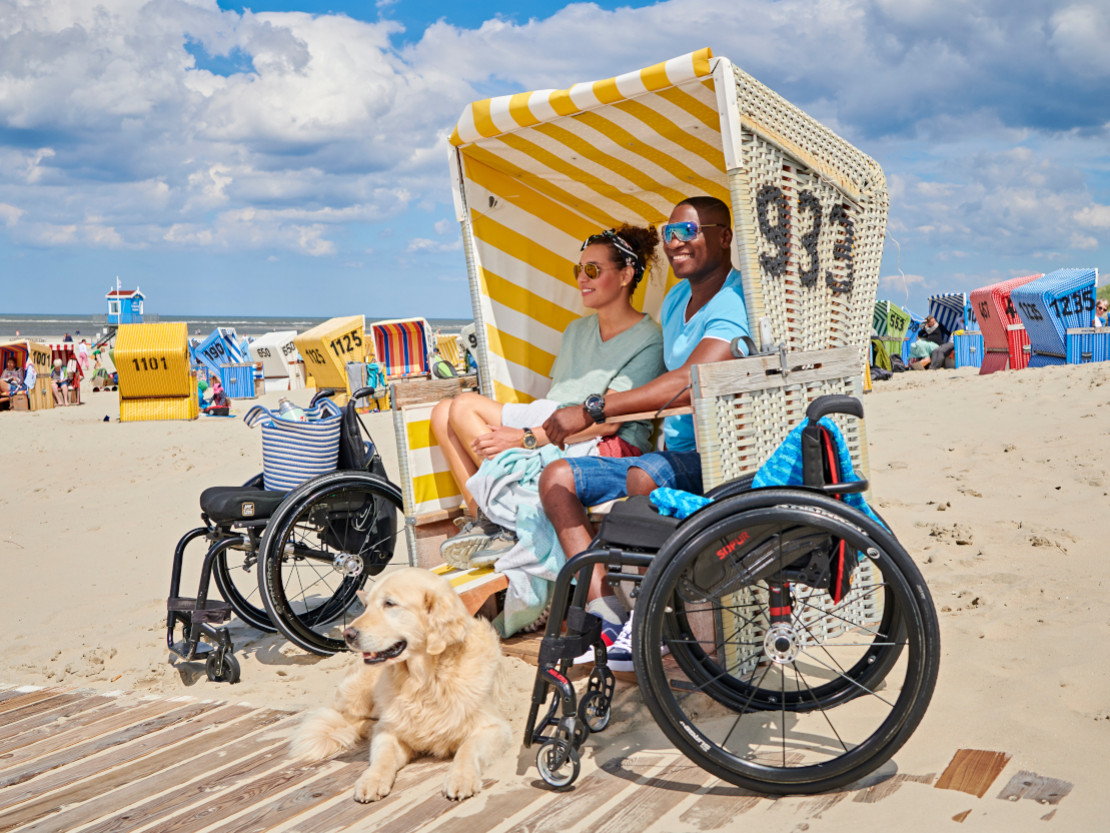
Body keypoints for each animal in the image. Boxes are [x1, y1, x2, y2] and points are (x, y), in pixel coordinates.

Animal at [288, 568, 508, 804]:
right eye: (367, 605)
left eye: (390, 603)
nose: (348, 635)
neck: (424, 680)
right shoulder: (390, 732)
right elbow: (383, 756)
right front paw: (372, 779)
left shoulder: (494, 727)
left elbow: (468, 748)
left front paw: (461, 778)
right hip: (357, 694)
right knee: (348, 719)